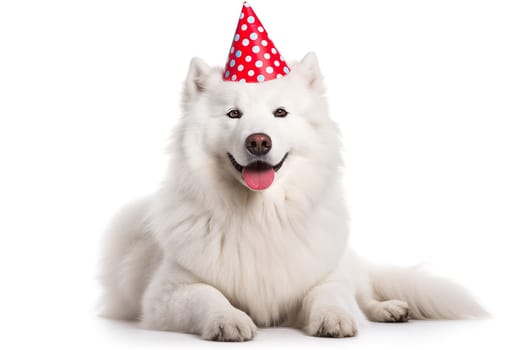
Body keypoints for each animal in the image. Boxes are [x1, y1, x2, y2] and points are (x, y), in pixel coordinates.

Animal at [99, 53, 488, 340]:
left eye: (280, 113)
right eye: (233, 114)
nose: (258, 141)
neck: (260, 216)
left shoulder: (324, 275)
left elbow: (329, 293)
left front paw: (333, 317)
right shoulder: (167, 293)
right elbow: (208, 295)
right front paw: (228, 319)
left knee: (364, 294)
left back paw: (388, 308)